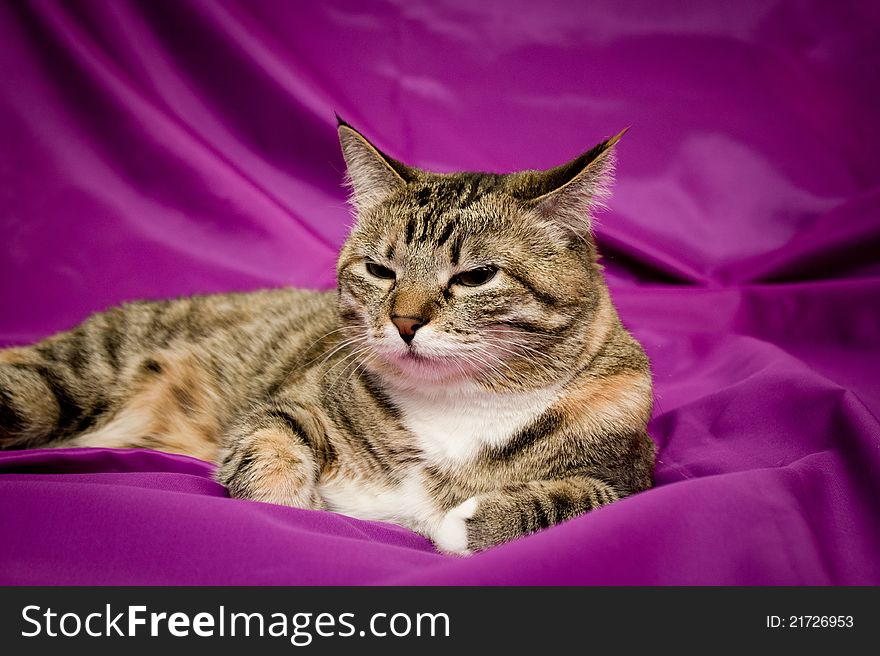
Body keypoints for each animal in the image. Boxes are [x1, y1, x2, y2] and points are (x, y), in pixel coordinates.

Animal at [0, 118, 652, 552]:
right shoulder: (285, 406)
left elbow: (584, 498)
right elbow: (266, 453)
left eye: (475, 276)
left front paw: (469, 522)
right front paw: (300, 506)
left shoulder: (633, 470)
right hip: (56, 386)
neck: (457, 405)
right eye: (380, 270)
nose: (405, 321)